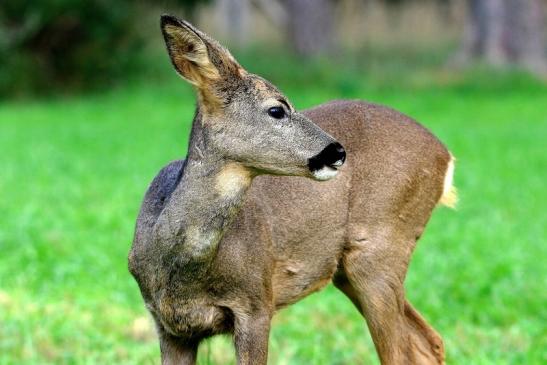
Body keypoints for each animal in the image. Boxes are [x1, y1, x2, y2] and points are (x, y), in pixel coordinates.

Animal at [126, 14, 456, 364]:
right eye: (276, 109)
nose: (337, 152)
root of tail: (444, 155)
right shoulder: (168, 323)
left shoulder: (256, 303)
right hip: (348, 269)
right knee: (427, 341)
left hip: (381, 246)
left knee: (402, 350)